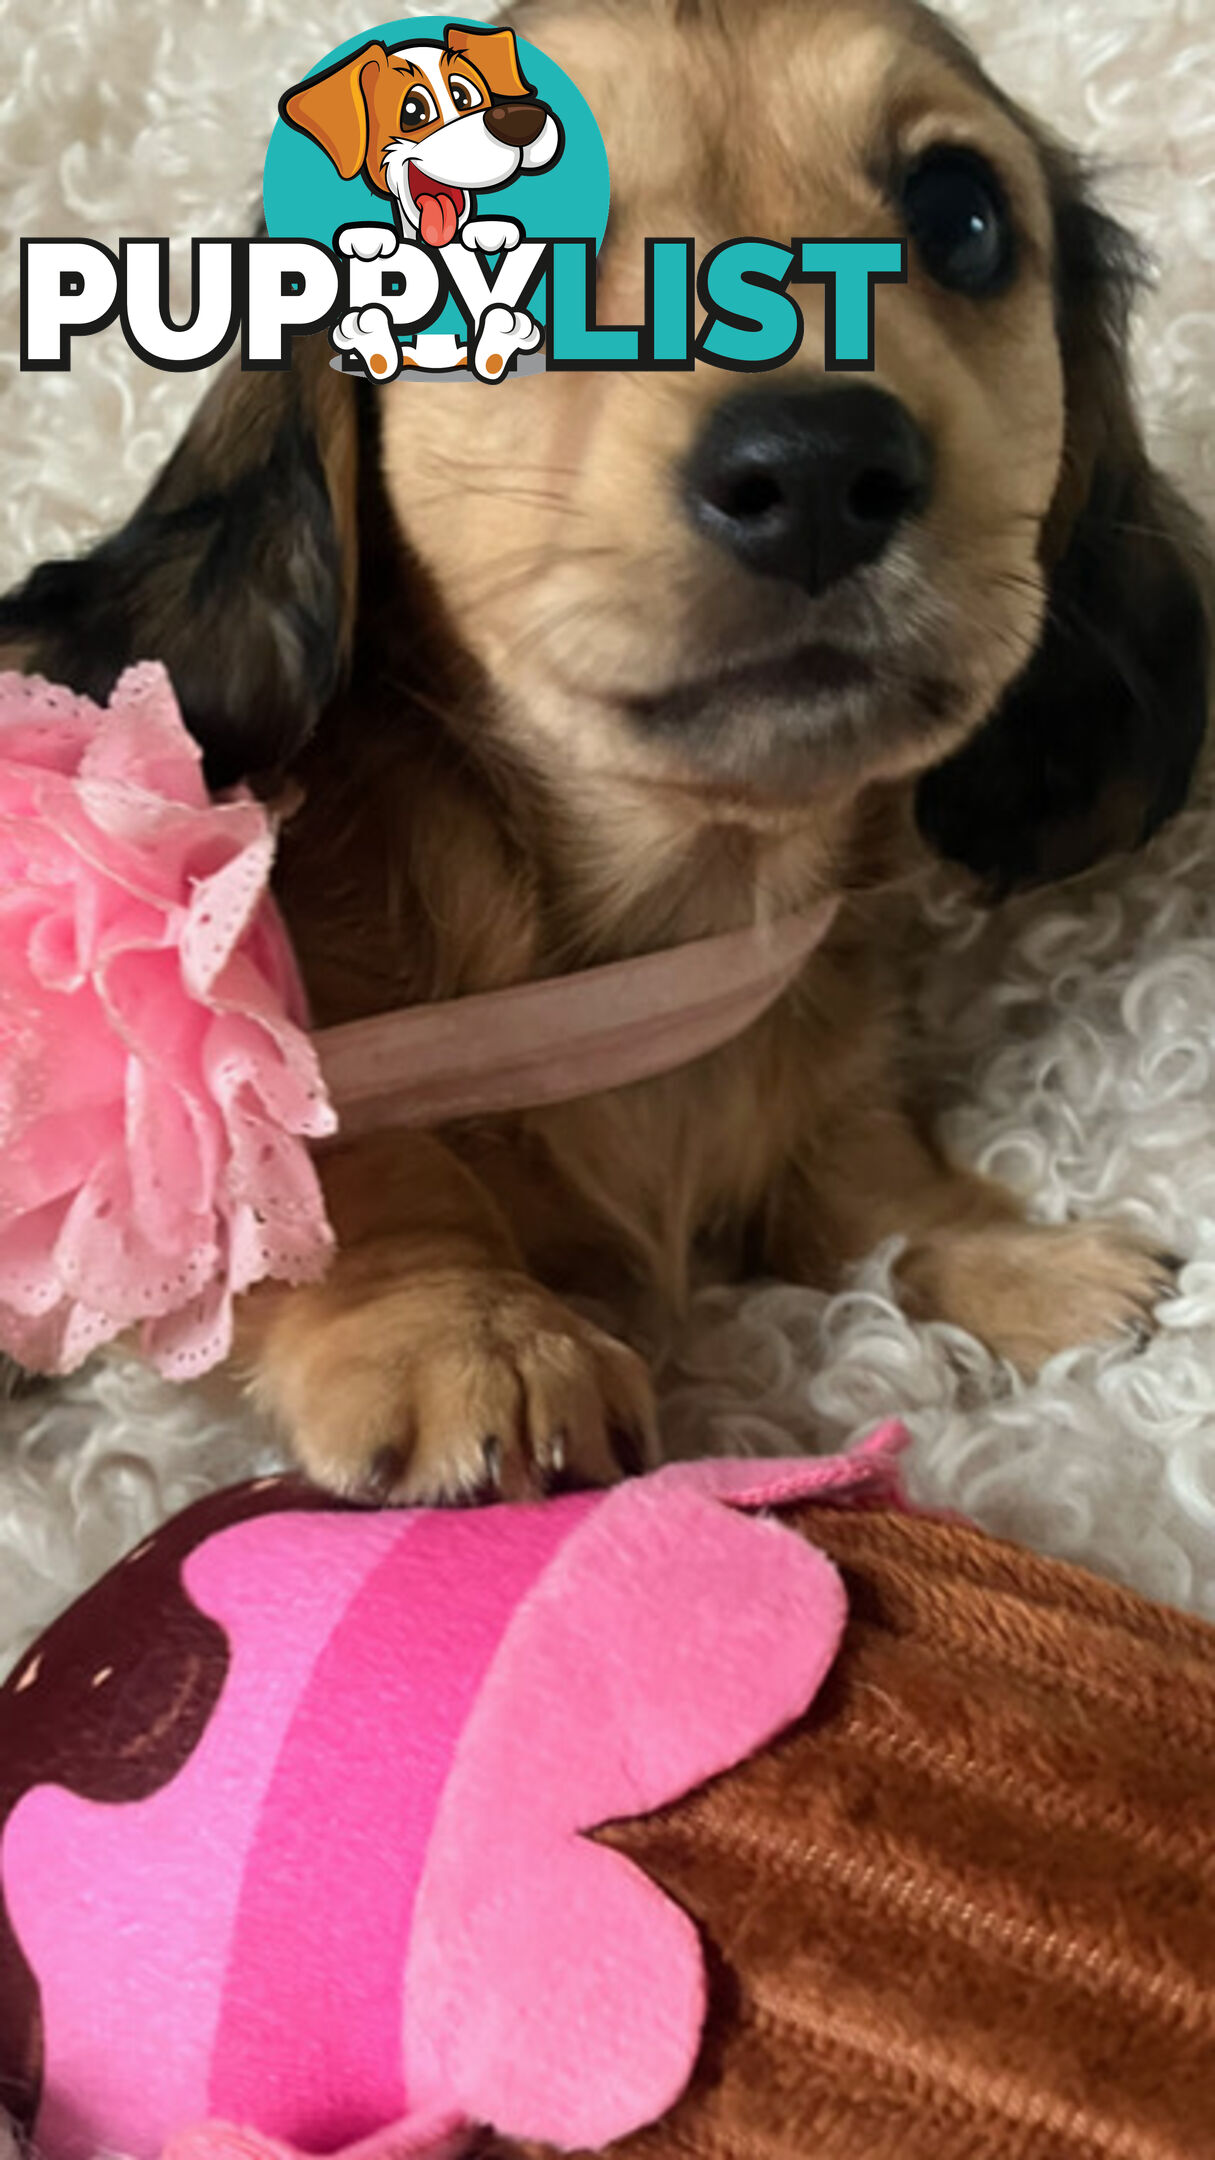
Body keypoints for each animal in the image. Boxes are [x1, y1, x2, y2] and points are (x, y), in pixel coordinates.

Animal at [2, 0, 1202, 1503]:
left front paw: (1004, 1259)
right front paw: (470, 1330)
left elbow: (862, 1178)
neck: (655, 918)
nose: (817, 466)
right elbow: (350, 1171)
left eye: (961, 216)